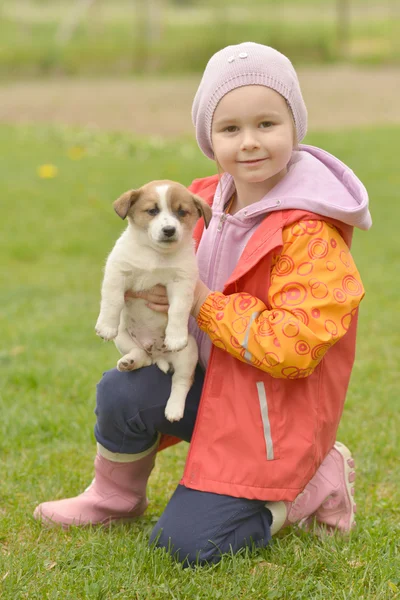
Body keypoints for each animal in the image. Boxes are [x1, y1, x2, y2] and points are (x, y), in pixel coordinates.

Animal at [94, 180, 212, 420]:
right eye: (152, 211)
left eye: (181, 212)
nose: (169, 230)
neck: (154, 255)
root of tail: (158, 353)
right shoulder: (117, 271)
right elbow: (112, 300)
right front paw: (106, 326)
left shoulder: (182, 282)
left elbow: (177, 310)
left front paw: (175, 336)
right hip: (124, 338)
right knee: (142, 356)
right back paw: (129, 362)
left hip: (189, 353)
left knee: (181, 381)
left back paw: (174, 409)